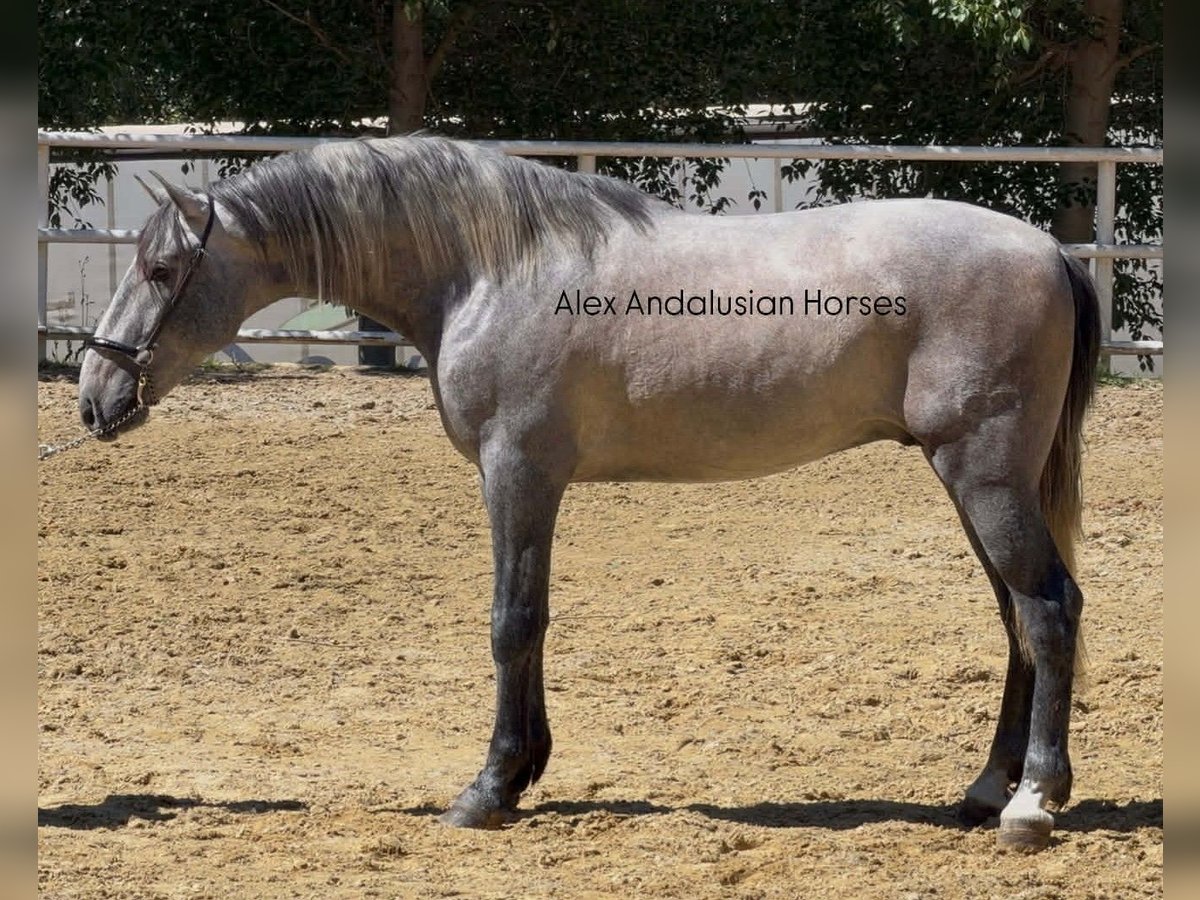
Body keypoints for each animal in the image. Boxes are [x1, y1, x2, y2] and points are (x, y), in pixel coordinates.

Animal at [78, 135, 1099, 851]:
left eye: (161, 270)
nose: (96, 396)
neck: (488, 269)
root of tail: (1050, 250)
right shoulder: (531, 481)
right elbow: (533, 621)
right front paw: (525, 772)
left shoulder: (517, 471)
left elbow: (511, 621)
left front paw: (488, 789)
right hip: (969, 478)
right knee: (1016, 616)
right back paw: (986, 790)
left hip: (982, 472)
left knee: (1048, 608)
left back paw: (1032, 804)